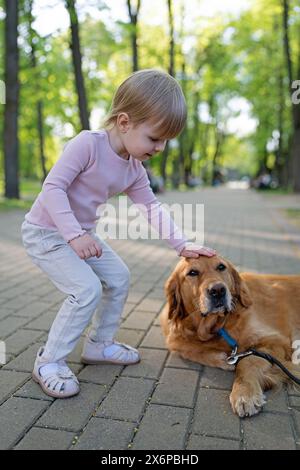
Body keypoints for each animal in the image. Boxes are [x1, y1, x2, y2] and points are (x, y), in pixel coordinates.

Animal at [161, 255, 300, 416]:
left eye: (221, 267)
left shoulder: (276, 341)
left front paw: (244, 393)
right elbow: (184, 348)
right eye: (192, 272)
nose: (218, 290)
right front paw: (221, 359)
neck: (217, 327)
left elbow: (246, 361)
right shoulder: (175, 337)